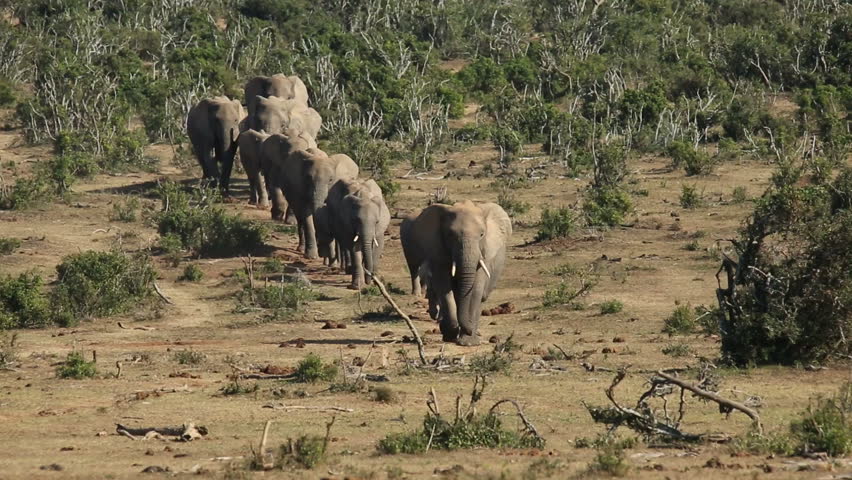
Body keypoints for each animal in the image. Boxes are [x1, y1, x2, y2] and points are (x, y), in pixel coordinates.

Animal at [402, 201, 512, 346]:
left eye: (482, 234)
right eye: (450, 235)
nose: (470, 330)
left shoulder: (484, 254)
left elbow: (475, 289)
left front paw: (468, 341)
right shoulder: (438, 250)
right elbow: (444, 287)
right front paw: (450, 334)